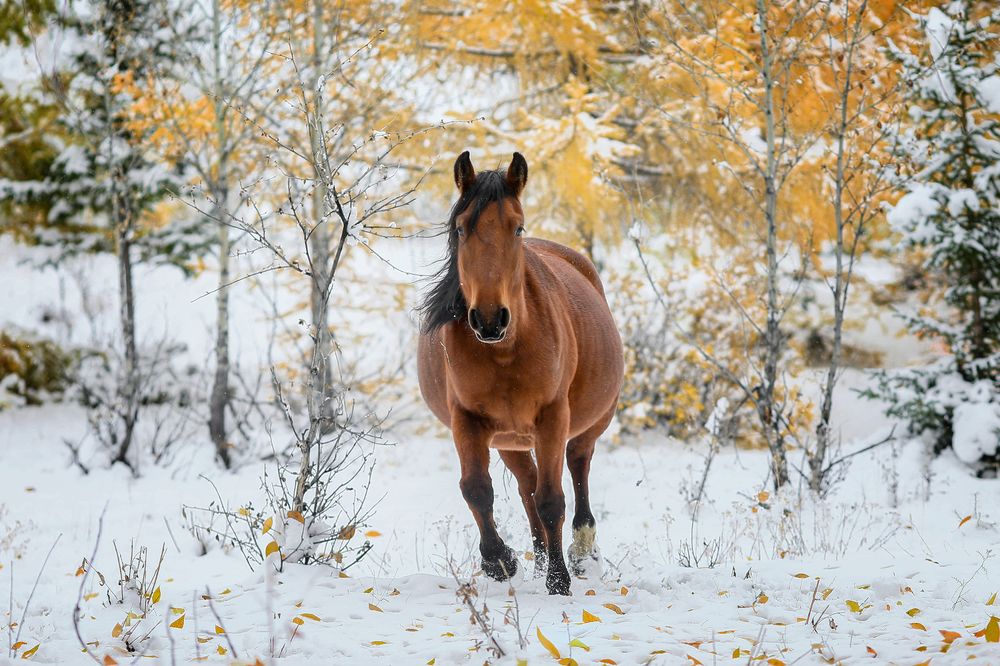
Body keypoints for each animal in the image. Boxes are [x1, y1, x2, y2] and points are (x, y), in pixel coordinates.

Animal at [416, 151, 624, 595]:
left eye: (517, 226)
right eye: (461, 228)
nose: (489, 319)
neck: (505, 352)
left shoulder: (552, 417)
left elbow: (552, 499)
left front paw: (559, 580)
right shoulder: (467, 420)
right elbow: (478, 490)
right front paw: (500, 561)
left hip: (590, 421)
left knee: (577, 466)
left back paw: (581, 552)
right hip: (510, 439)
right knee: (527, 483)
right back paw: (541, 553)